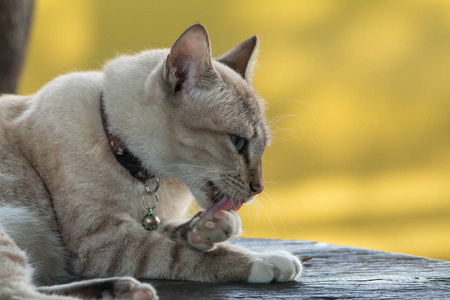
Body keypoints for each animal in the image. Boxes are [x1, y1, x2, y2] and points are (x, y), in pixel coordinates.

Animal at [0, 24, 302, 300]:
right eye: (238, 142)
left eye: (263, 148)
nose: (258, 188)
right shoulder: (102, 242)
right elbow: (181, 255)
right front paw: (261, 261)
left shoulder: (147, 222)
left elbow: (179, 233)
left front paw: (210, 229)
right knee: (20, 293)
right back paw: (131, 291)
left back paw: (119, 290)